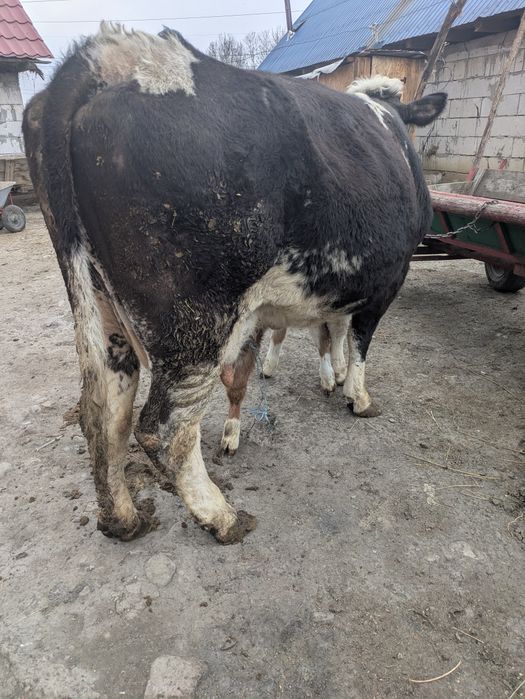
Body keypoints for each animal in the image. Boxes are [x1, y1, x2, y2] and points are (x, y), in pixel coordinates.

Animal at [23, 23, 446, 544]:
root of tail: (116, 56)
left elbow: (335, 330)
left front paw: (335, 376)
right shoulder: (388, 277)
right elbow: (360, 340)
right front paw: (357, 395)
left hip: (99, 299)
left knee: (104, 410)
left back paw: (122, 518)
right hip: (195, 321)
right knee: (165, 429)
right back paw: (221, 516)